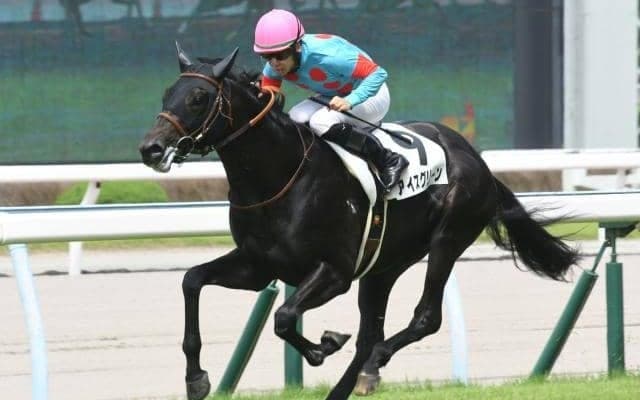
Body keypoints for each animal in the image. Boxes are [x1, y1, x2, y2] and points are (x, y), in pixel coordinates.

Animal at [138, 45, 581, 400]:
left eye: (199, 97)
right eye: (167, 93)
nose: (151, 148)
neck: (280, 176)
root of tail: (478, 160)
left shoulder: (335, 272)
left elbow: (284, 318)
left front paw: (323, 345)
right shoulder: (258, 265)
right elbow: (192, 280)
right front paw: (196, 378)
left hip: (447, 239)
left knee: (421, 319)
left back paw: (375, 363)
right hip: (384, 265)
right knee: (370, 334)